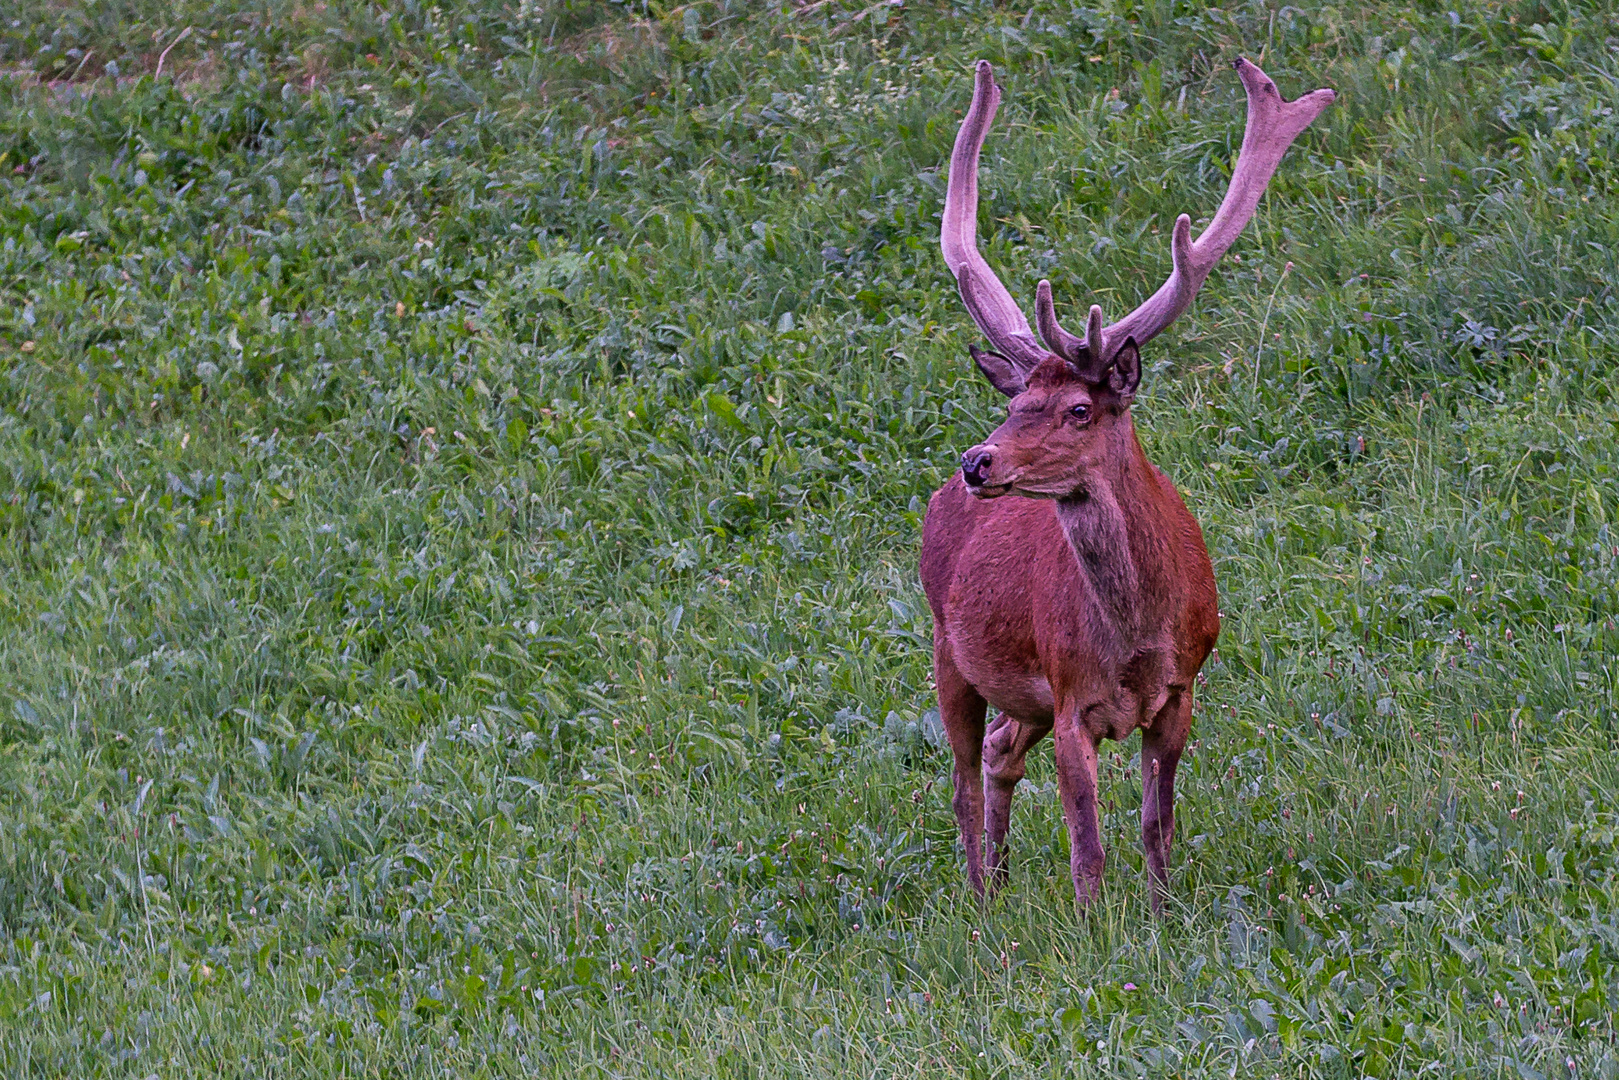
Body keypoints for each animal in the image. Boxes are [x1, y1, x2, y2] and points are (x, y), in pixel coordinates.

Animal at [919, 55, 1334, 906]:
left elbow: (1154, 823)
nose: (978, 461)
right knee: (963, 780)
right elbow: (1087, 847)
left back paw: (1000, 883)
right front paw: (1093, 924)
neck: (1137, 639)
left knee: (999, 751)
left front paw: (1163, 911)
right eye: (1014, 403)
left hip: (1019, 696)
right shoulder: (1071, 696)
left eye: (1079, 407)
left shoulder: (1181, 691)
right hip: (950, 652)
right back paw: (980, 899)